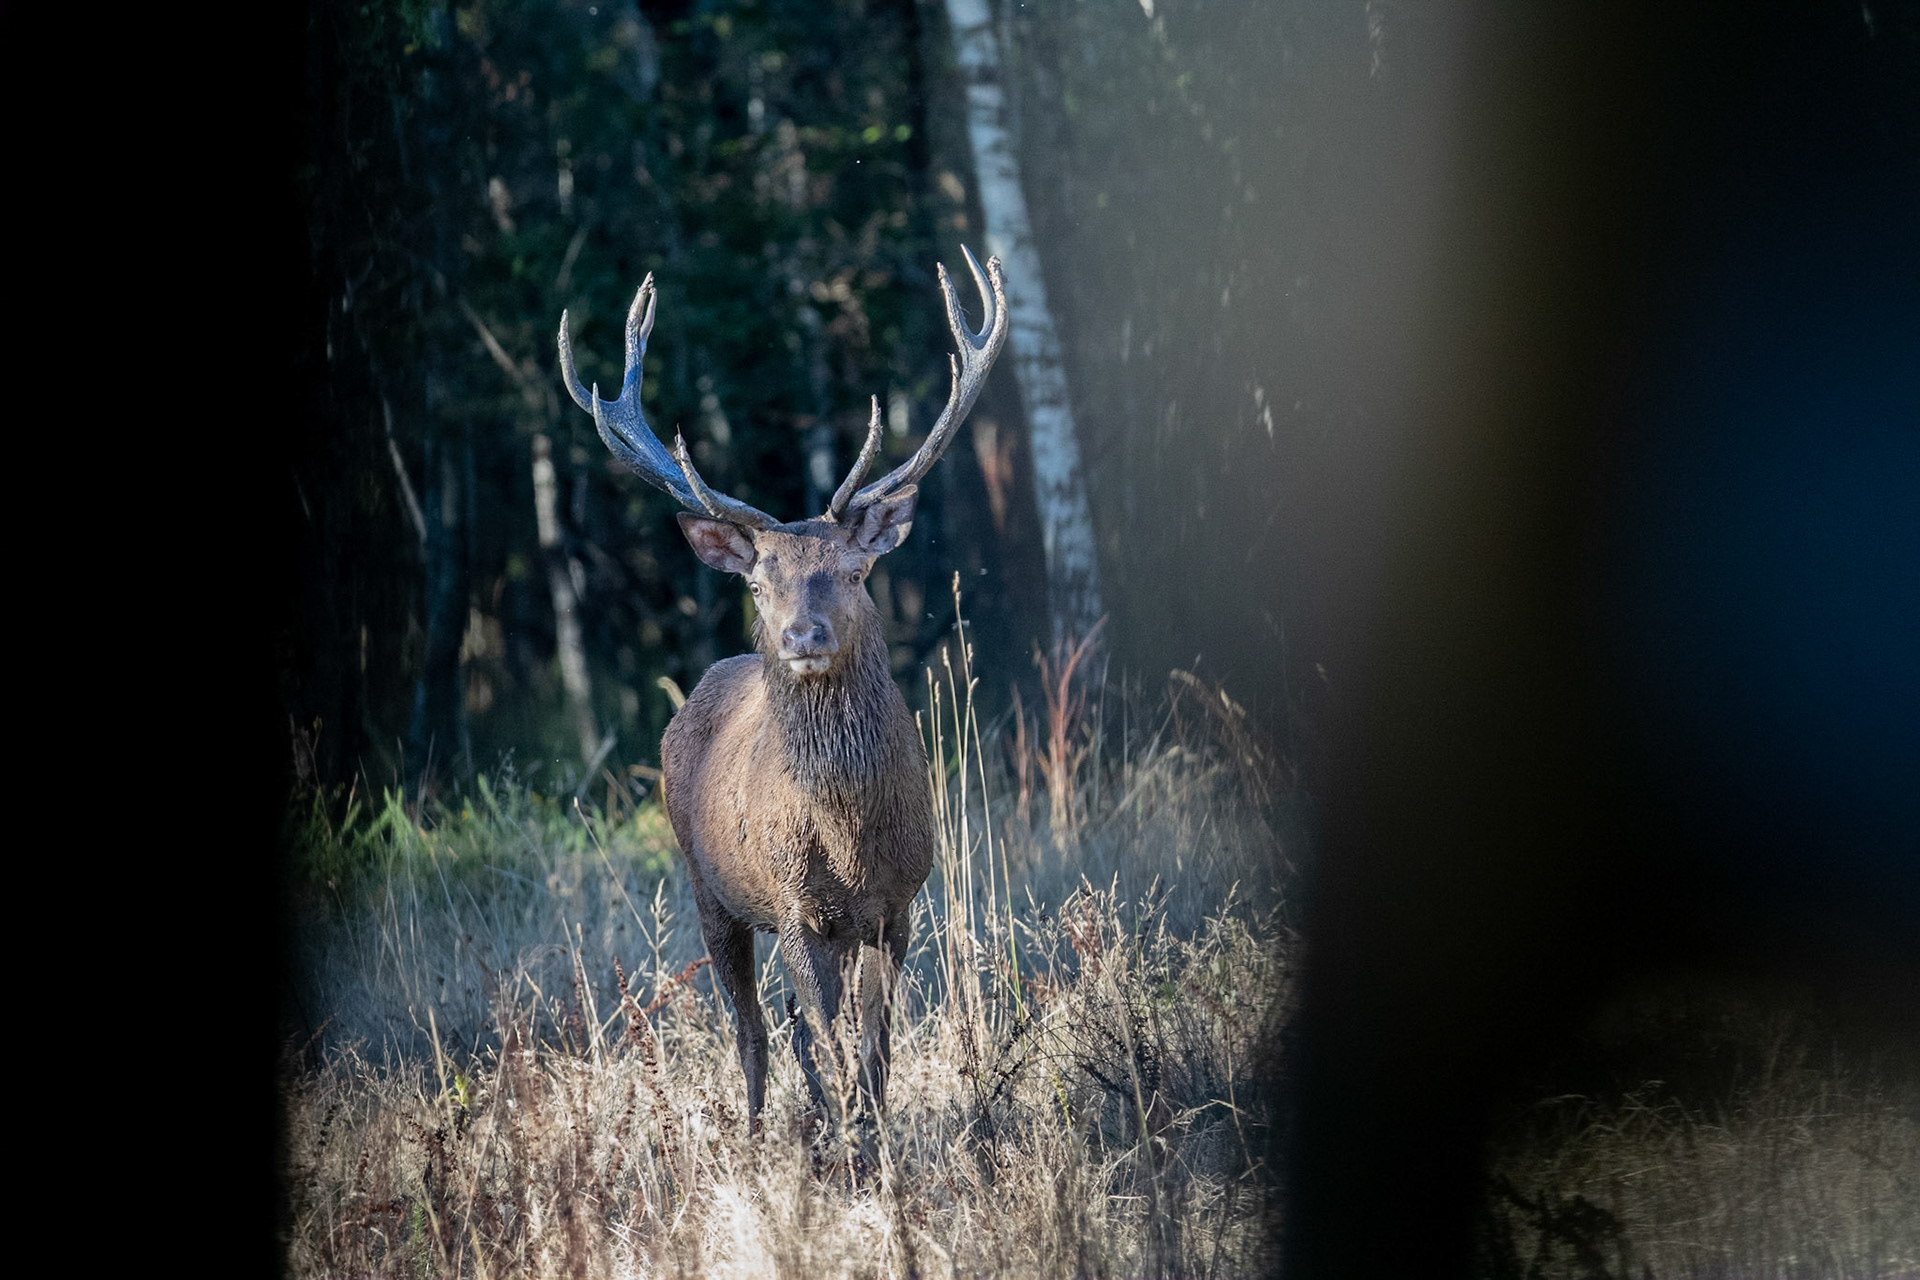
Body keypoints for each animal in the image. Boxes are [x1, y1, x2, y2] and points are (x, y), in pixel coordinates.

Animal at [557, 247, 1008, 1153]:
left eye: (854, 570)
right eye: (760, 581)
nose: (803, 633)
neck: (848, 838)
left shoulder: (899, 903)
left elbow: (873, 1041)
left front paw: (872, 1139)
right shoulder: (798, 910)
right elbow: (831, 1039)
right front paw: (851, 1144)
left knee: (796, 1029)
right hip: (708, 890)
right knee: (753, 1029)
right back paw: (761, 1132)